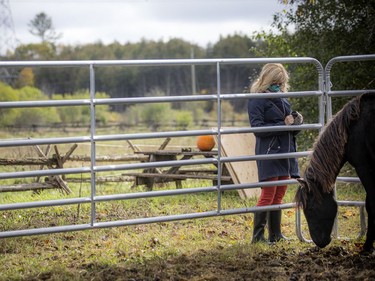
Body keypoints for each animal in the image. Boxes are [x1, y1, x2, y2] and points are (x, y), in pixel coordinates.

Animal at [296, 92, 375, 252]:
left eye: (310, 209)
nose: (318, 242)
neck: (350, 129)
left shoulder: (365, 168)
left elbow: (370, 204)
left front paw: (367, 246)